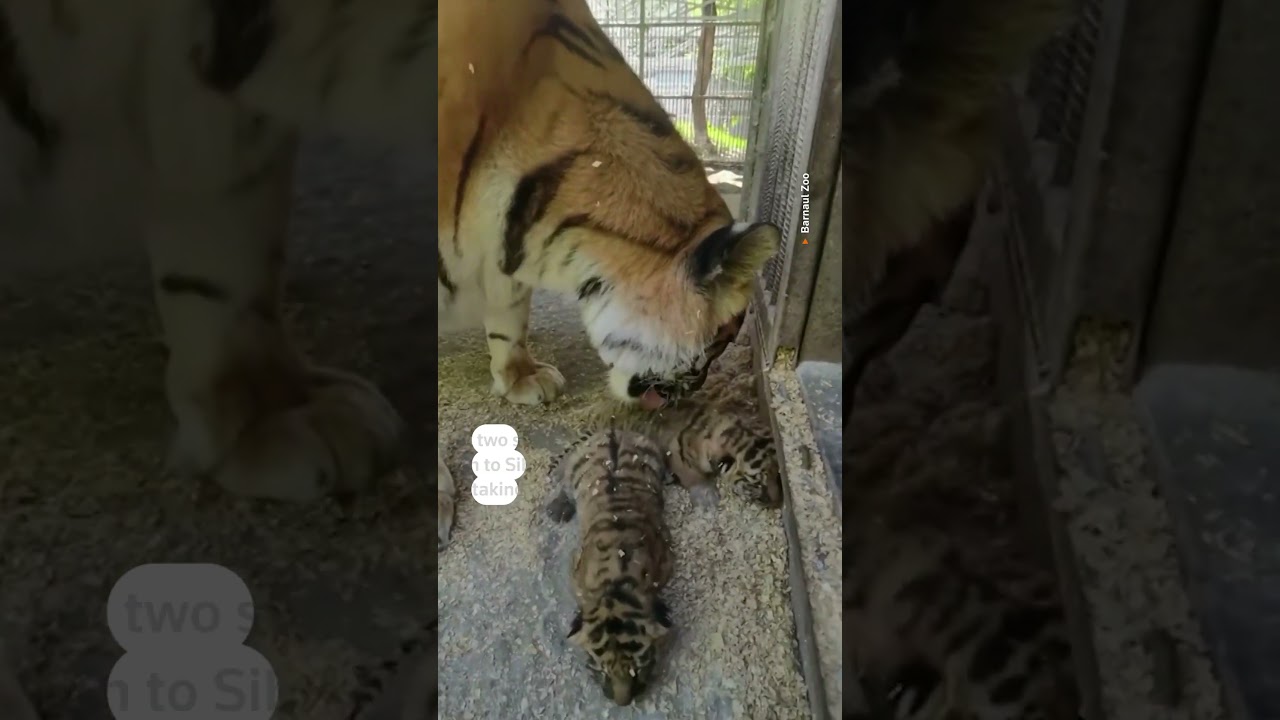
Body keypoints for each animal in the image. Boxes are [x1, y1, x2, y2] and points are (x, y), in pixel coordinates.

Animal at [544, 427, 675, 707]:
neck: (616, 581)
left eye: (638, 668)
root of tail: (610, 429)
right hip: (574, 467)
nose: (622, 703)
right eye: (601, 669)